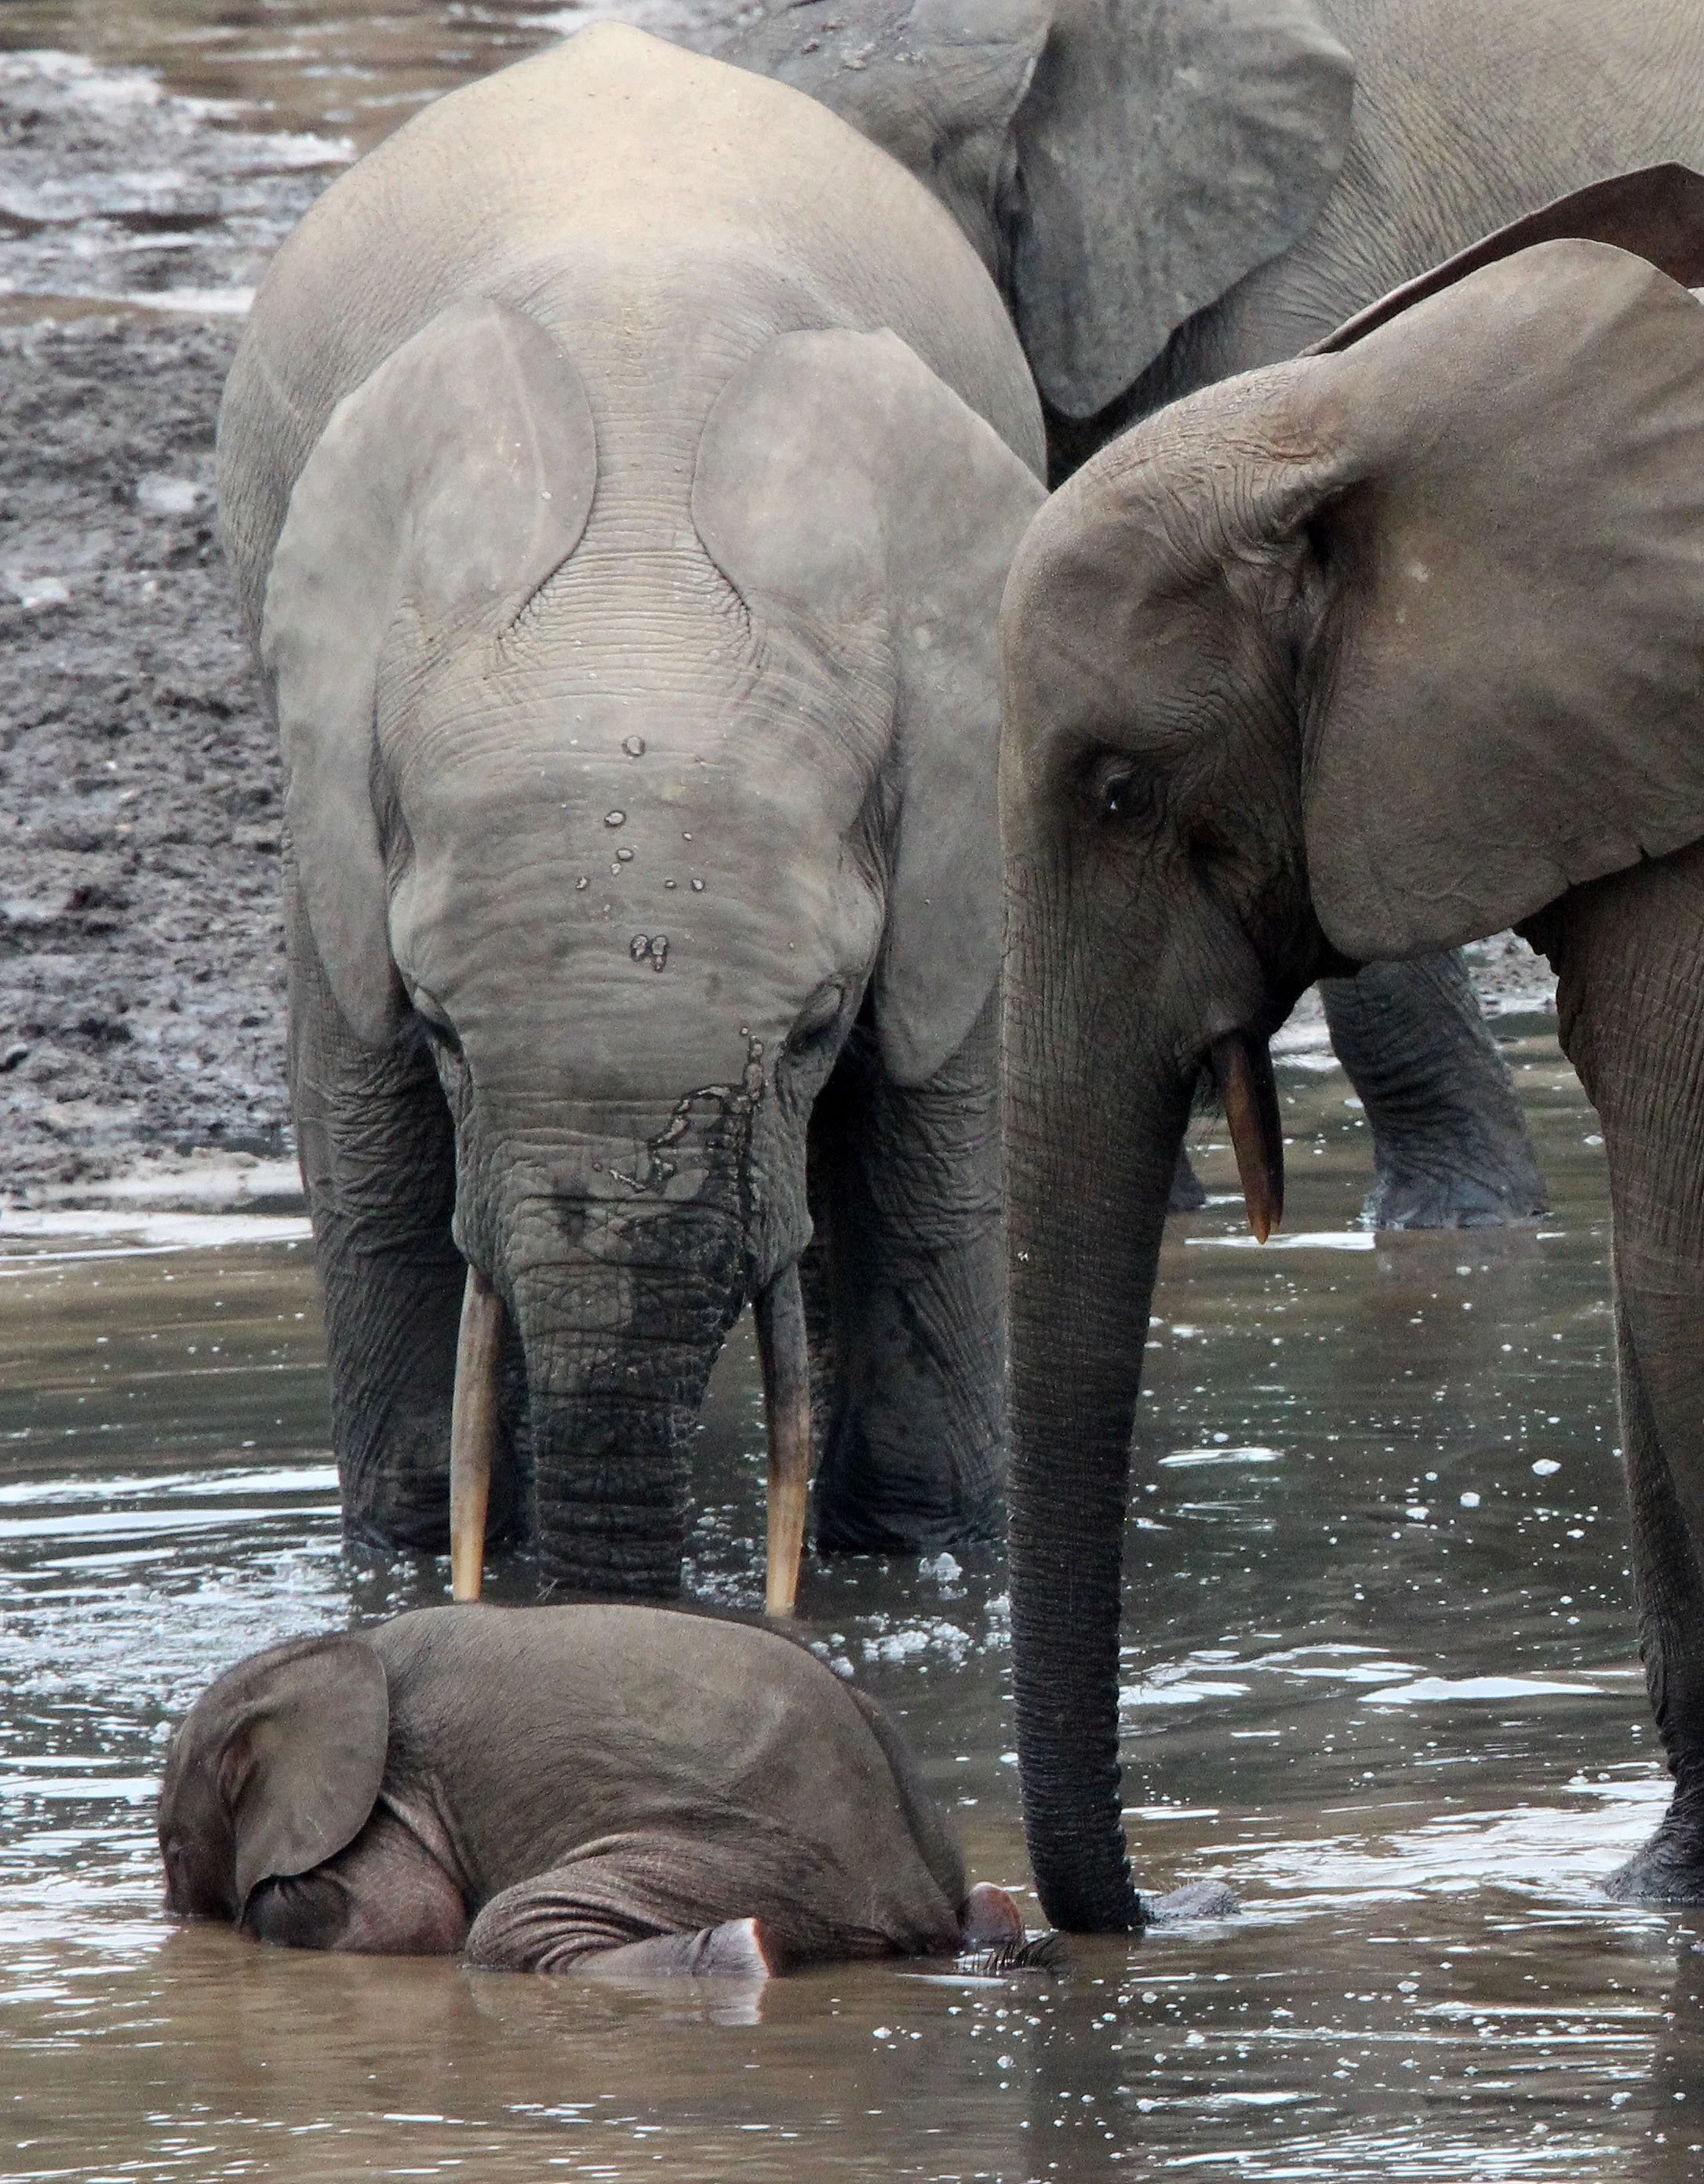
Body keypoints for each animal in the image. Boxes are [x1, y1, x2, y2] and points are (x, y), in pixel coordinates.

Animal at [157, 1603, 1042, 1973]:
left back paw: (749, 1949)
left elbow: (409, 1917)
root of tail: (919, 1899)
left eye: (170, 1851)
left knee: (507, 1926)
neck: (318, 1654)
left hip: (756, 1857)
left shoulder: (393, 1794)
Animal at [215, 24, 1047, 1596]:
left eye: (817, 1027)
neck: (634, 575)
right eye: (440, 1027)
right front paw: (425, 1570)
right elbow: (373, 1182)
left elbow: (934, 1172)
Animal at [994, 170, 1704, 1927]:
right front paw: (1649, 1900)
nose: (1191, 1907)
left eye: (1120, 792)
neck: (1360, 411)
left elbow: (1679, 1277)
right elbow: (1649, 1304)